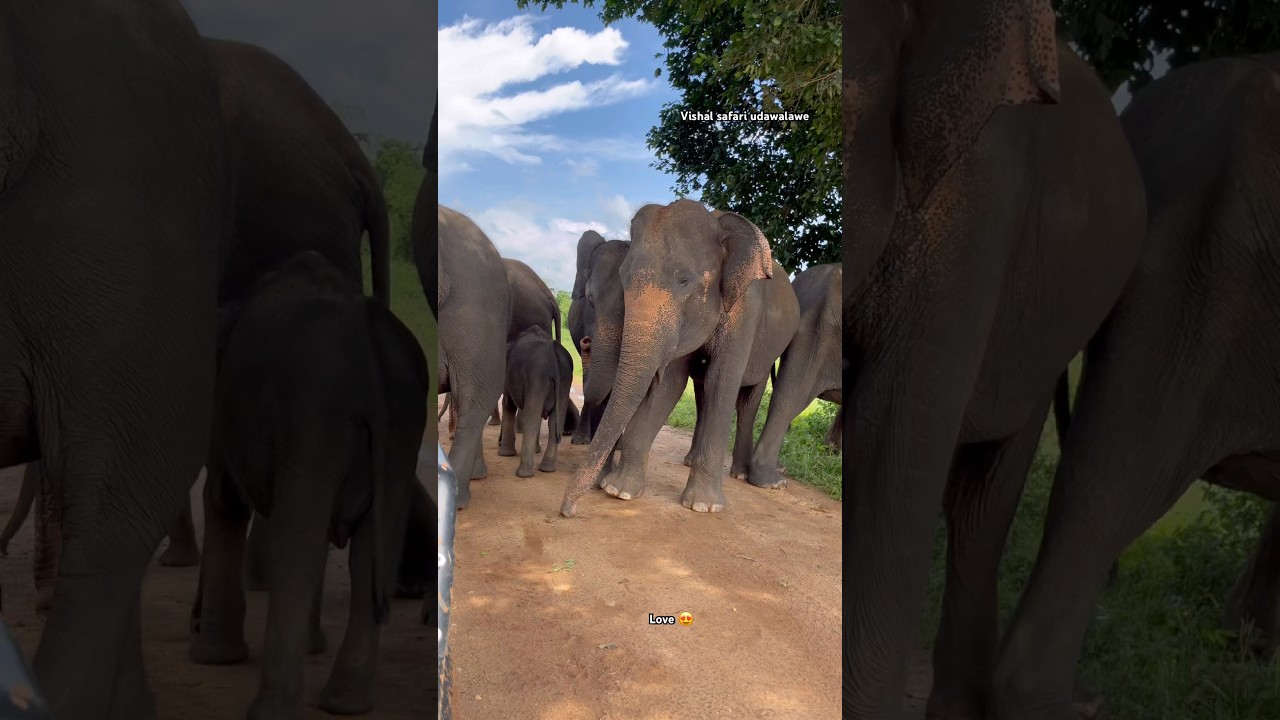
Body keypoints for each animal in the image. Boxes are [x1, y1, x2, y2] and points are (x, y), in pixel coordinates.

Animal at [189, 251, 427, 719]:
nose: (193, 621)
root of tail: (367, 338)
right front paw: (311, 646)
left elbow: (225, 499)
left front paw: (212, 657)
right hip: (399, 422)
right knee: (370, 551)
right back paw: (345, 701)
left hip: (319, 412)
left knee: (298, 543)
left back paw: (273, 710)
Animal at [497, 326, 574, 476]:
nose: (499, 443)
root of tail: (553, 352)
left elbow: (508, 403)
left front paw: (505, 454)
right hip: (564, 379)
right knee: (554, 422)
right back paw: (547, 469)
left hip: (538, 376)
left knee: (531, 417)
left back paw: (523, 474)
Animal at [560, 199, 800, 515]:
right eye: (625, 279)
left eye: (684, 280)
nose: (568, 510)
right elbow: (670, 384)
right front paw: (619, 490)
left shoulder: (746, 310)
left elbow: (722, 382)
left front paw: (703, 506)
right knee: (702, 395)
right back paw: (690, 460)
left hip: (770, 349)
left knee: (746, 398)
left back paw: (739, 474)